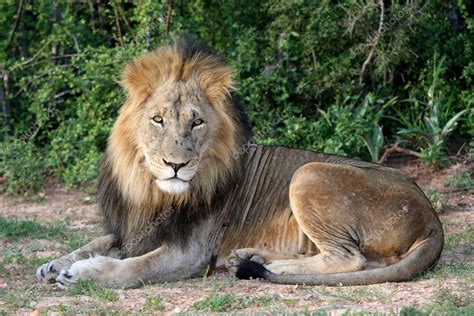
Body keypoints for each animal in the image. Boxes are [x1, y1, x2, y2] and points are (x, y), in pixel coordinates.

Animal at [35, 38, 442, 288]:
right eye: (158, 120)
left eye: (197, 122)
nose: (175, 165)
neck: (153, 190)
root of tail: (433, 218)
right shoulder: (134, 228)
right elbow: (97, 241)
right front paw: (55, 263)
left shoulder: (190, 252)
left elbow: (135, 267)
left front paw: (81, 274)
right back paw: (250, 256)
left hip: (308, 173)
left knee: (351, 259)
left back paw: (270, 266)